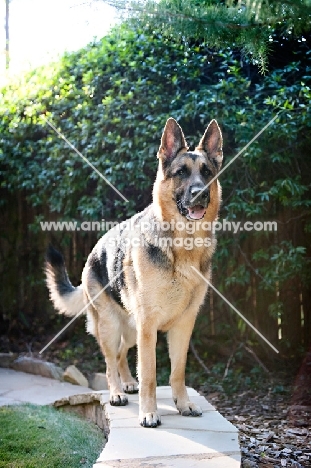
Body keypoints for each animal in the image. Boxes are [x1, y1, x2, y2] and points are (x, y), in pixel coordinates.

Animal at [45, 118, 223, 428]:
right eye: (181, 173)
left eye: (206, 173)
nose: (199, 193)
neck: (183, 245)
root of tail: (93, 252)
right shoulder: (149, 327)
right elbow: (150, 374)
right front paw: (149, 413)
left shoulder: (182, 325)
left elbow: (178, 372)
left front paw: (183, 404)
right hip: (111, 325)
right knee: (108, 360)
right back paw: (117, 392)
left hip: (130, 329)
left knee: (119, 354)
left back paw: (127, 383)